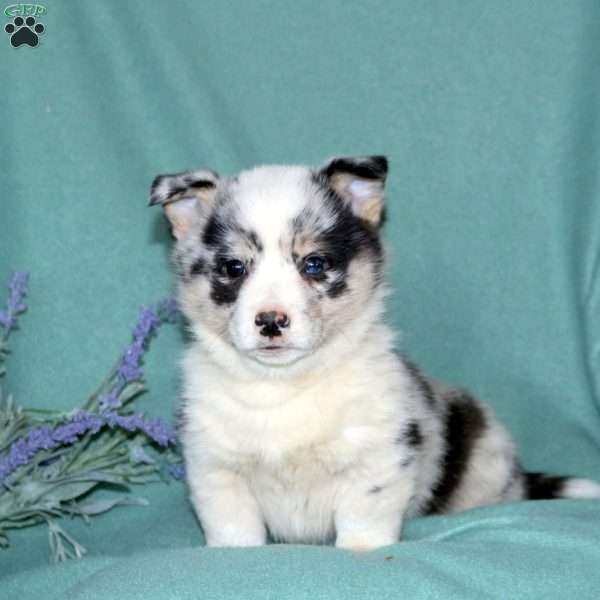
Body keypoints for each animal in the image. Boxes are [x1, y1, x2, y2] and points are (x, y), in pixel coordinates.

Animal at [150, 157, 600, 552]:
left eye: (314, 263)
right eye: (233, 267)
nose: (271, 321)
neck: (284, 384)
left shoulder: (378, 457)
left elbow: (363, 516)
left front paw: (362, 551)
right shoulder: (216, 468)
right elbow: (233, 526)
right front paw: (233, 554)